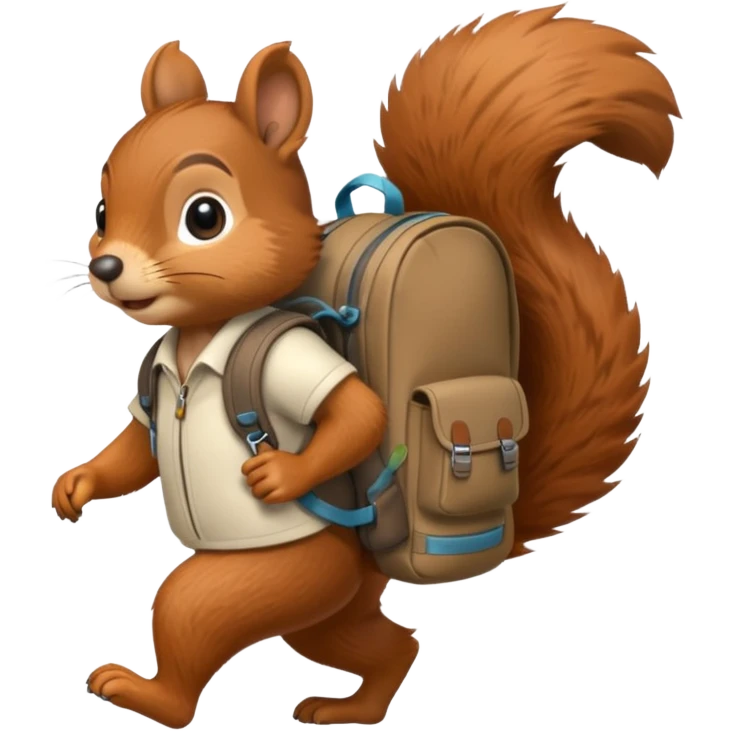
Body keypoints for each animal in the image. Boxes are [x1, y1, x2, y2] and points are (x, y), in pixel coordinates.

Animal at [50, 5, 679, 728]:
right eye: (102, 211)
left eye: (204, 216)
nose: (105, 266)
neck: (198, 344)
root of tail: (366, 563)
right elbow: (135, 447)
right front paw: (75, 485)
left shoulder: (292, 357)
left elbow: (356, 413)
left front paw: (279, 473)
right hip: (327, 607)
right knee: (376, 640)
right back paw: (357, 704)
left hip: (283, 577)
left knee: (192, 613)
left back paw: (151, 695)